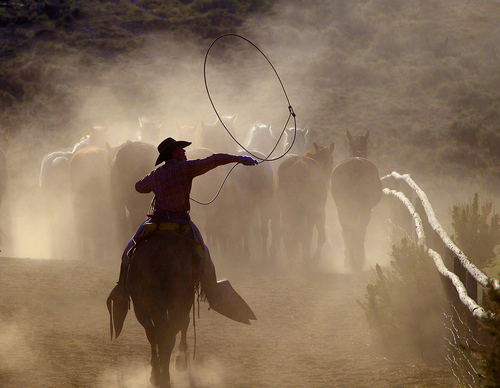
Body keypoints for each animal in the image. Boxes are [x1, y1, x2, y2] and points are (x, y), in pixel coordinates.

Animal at [126, 232, 196, 386]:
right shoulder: (187, 298)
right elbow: (184, 323)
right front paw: (181, 360)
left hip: (142, 306)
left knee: (155, 333)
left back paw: (158, 374)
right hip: (174, 302)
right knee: (168, 333)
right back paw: (163, 375)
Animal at [330, 130, 380, 272]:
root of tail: (355, 165)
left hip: (345, 208)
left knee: (348, 229)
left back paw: (353, 260)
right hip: (362, 209)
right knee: (358, 230)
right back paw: (357, 260)